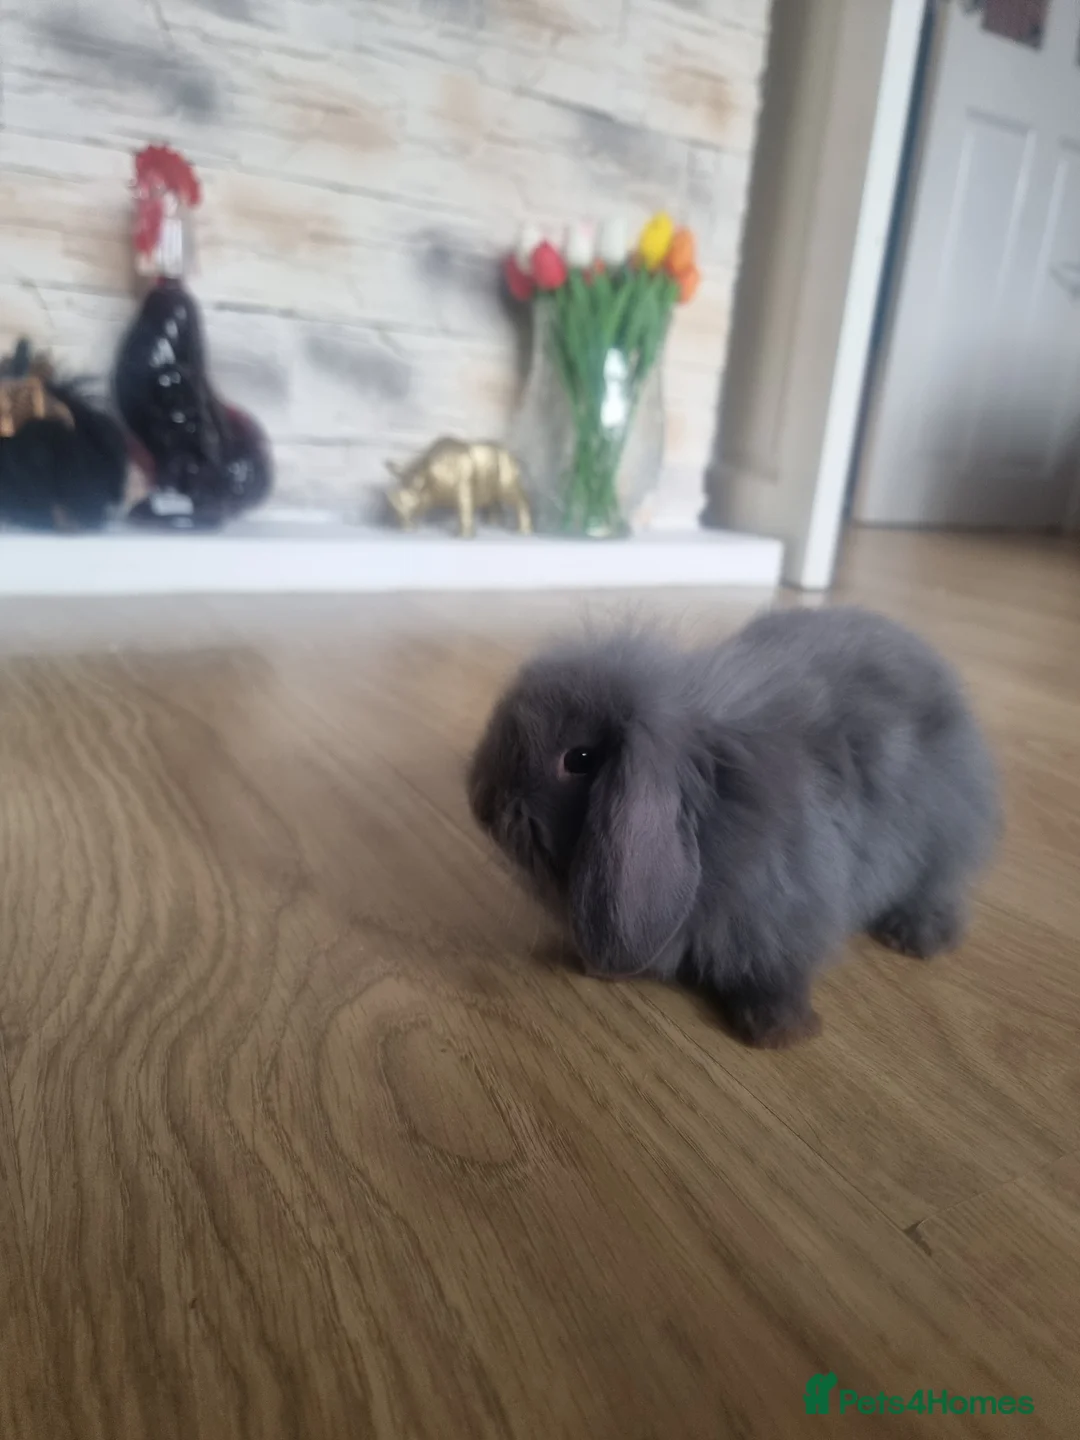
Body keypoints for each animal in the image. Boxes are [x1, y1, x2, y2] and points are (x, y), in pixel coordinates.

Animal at [467, 606, 999, 1047]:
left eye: (577, 759)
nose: (482, 803)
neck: (712, 808)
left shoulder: (790, 907)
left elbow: (780, 970)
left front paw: (781, 1031)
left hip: (943, 838)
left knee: (938, 885)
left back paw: (917, 938)